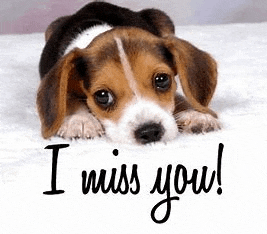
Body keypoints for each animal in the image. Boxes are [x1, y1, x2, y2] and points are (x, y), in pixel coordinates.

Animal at [38, 1, 222, 144]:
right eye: (103, 96)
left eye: (162, 79)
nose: (149, 132)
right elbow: (68, 97)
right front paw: (79, 120)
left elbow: (179, 96)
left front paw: (196, 114)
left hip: (161, 17)